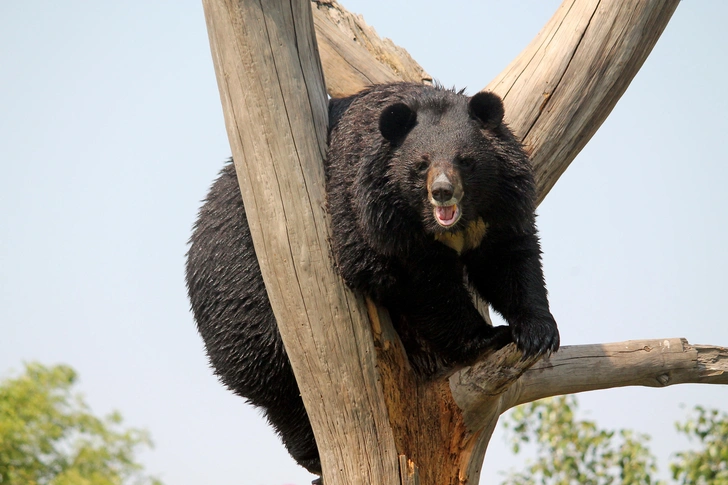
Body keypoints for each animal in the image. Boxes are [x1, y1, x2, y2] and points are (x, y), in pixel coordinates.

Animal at [185, 81, 560, 474]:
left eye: (465, 160)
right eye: (421, 163)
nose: (442, 192)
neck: (446, 226)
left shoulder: (500, 207)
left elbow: (509, 259)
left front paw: (538, 333)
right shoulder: (372, 216)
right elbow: (424, 285)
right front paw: (488, 336)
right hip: (248, 307)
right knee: (281, 390)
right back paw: (313, 457)